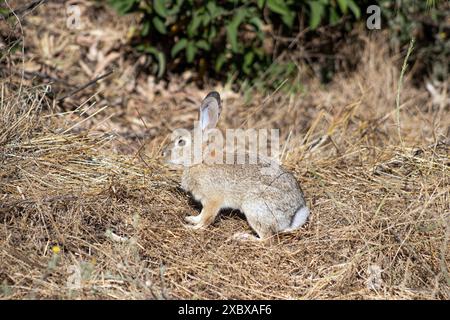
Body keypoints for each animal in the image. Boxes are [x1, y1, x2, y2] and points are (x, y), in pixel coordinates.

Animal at [163, 90, 310, 240]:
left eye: (181, 142)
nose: (163, 153)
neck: (200, 160)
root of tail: (292, 216)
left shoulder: (212, 199)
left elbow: (207, 217)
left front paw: (193, 228)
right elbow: (201, 215)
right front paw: (191, 219)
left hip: (254, 207)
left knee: (268, 238)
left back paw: (243, 237)